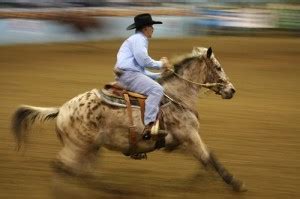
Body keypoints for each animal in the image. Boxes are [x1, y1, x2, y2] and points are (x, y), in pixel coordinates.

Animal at [11, 46, 246, 191]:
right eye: (218, 67)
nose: (232, 90)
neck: (178, 97)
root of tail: (61, 110)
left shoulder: (177, 141)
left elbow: (206, 158)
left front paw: (198, 180)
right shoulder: (189, 135)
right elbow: (208, 158)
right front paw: (235, 183)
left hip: (90, 148)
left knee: (80, 172)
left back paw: (112, 189)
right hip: (77, 146)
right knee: (62, 167)